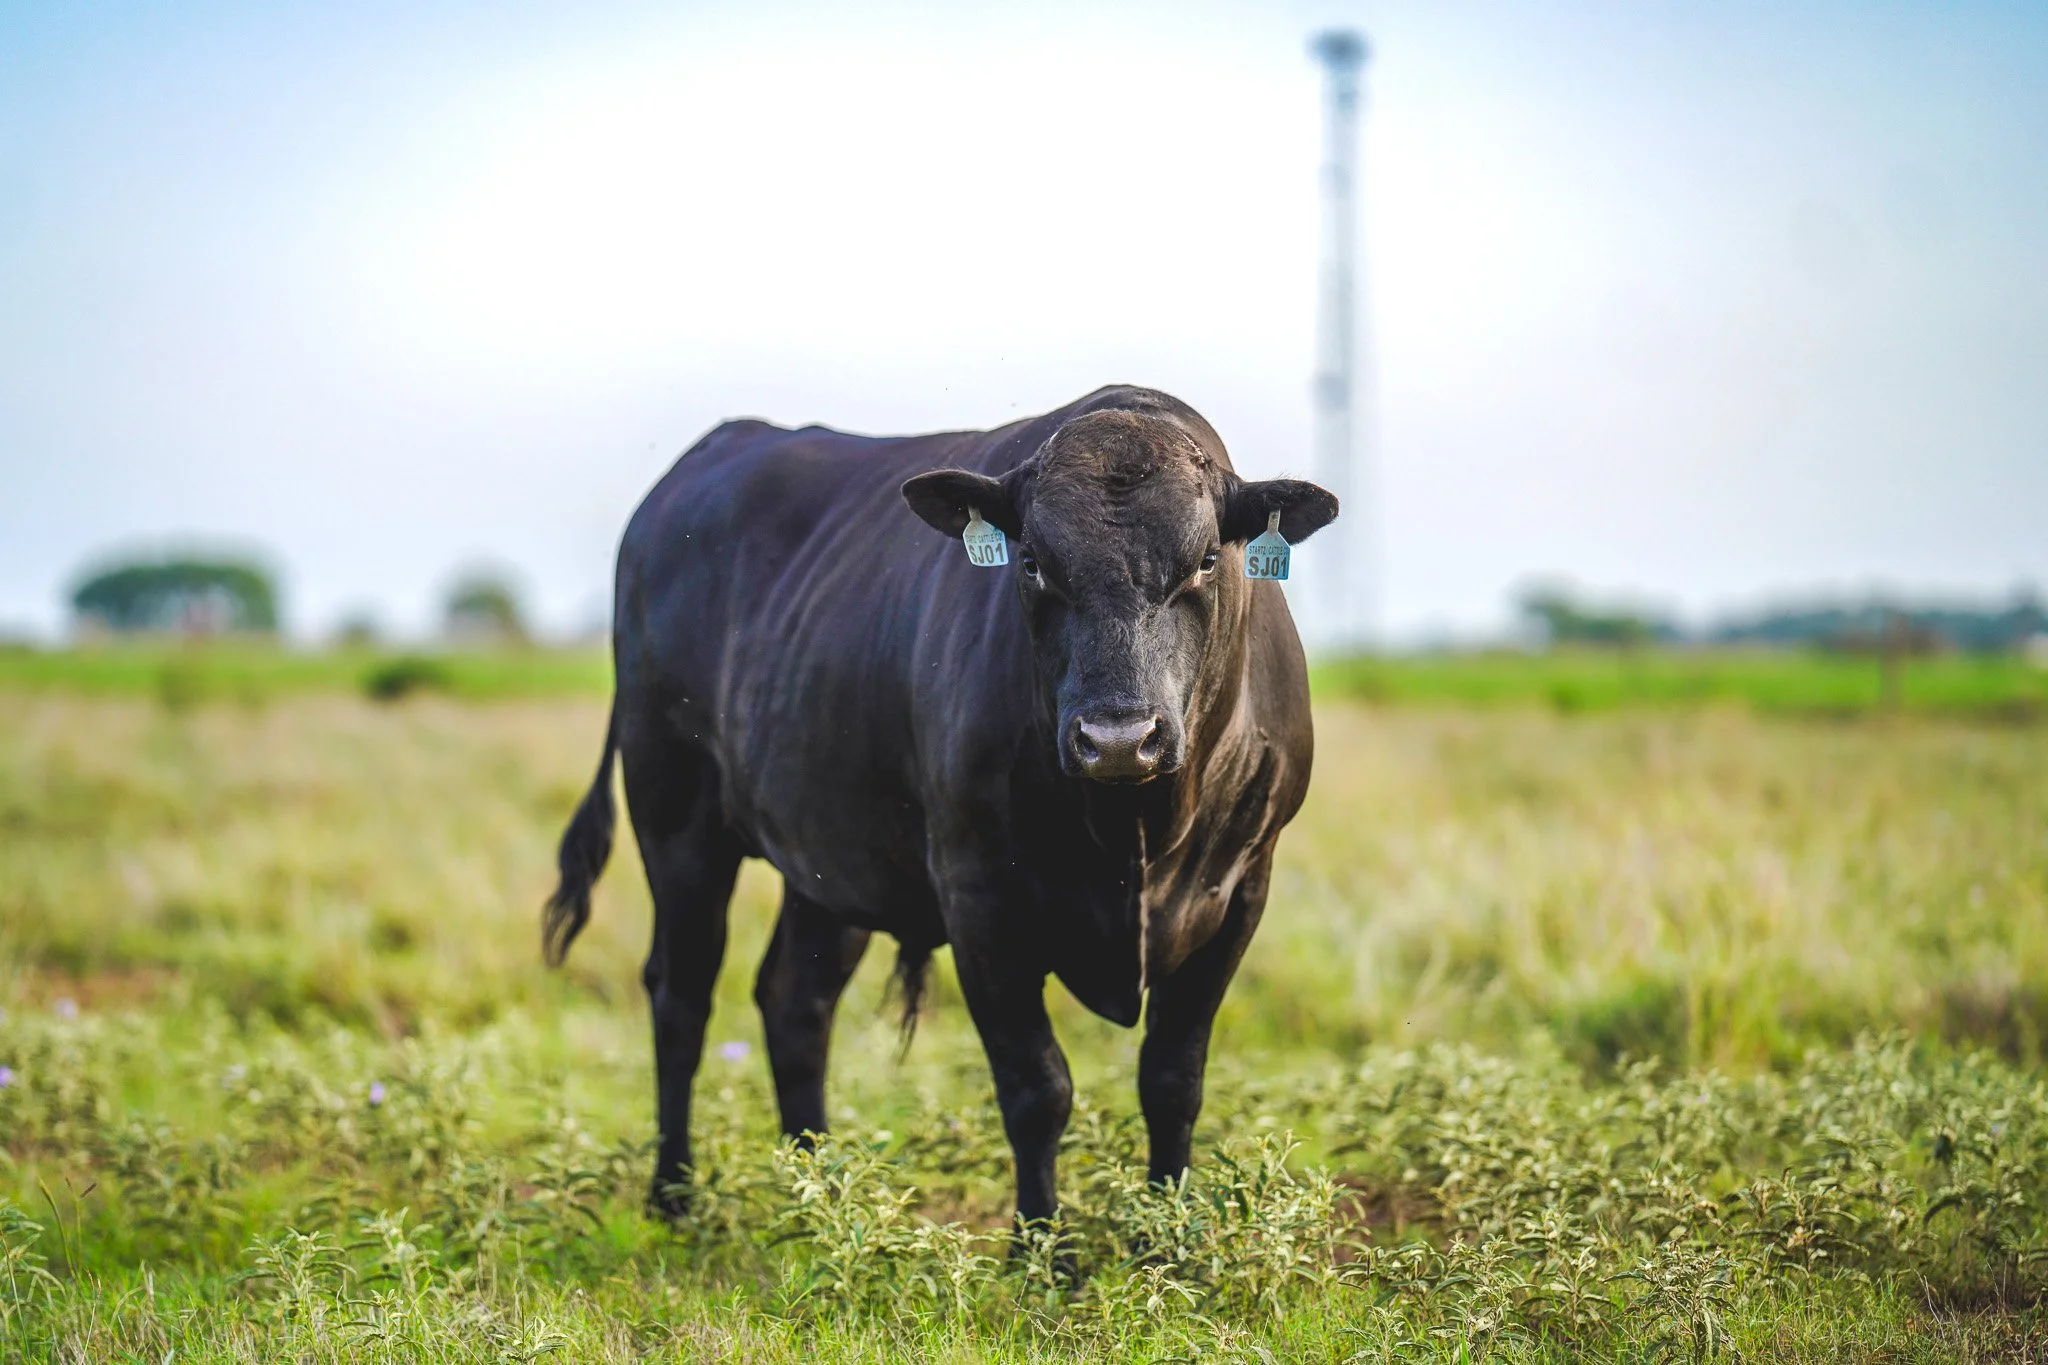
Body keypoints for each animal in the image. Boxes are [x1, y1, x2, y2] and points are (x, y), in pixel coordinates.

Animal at [543, 384, 1336, 1229]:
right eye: (1034, 562)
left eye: (1205, 559)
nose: (1119, 737)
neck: (1136, 837)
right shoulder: (979, 899)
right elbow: (1037, 1089)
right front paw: (1041, 1245)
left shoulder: (1241, 887)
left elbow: (1173, 1079)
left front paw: (1167, 1231)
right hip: (676, 813)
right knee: (682, 994)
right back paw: (675, 1196)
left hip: (829, 854)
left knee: (794, 1000)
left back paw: (820, 1195)